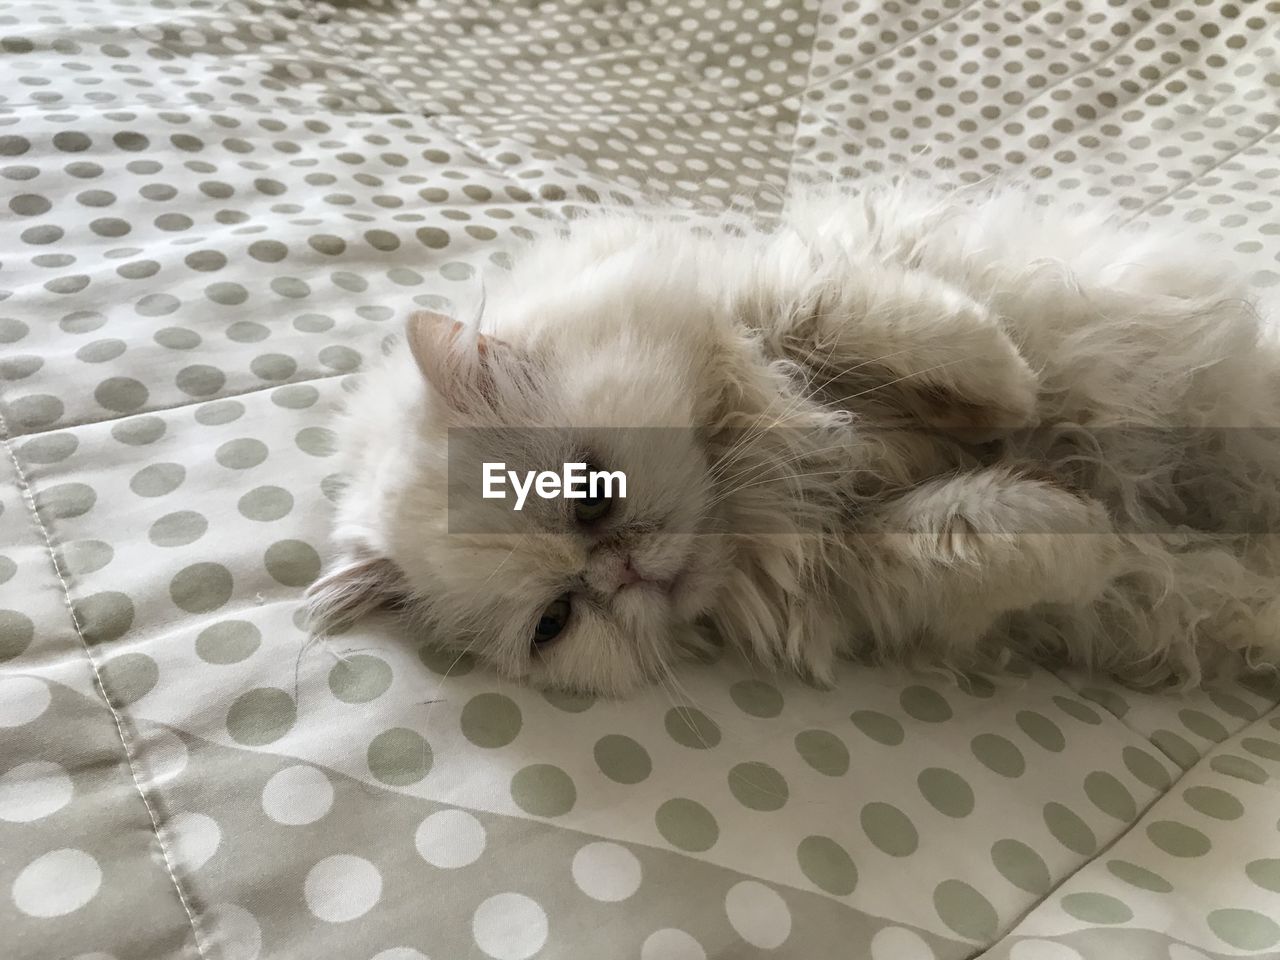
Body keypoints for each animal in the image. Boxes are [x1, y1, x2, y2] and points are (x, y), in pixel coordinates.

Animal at [307, 185, 1280, 701]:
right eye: (556, 621)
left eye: (588, 495)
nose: (618, 573)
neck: (769, 488)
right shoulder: (873, 567)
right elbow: (993, 529)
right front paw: (1097, 531)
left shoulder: (788, 303)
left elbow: (876, 321)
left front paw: (1013, 390)